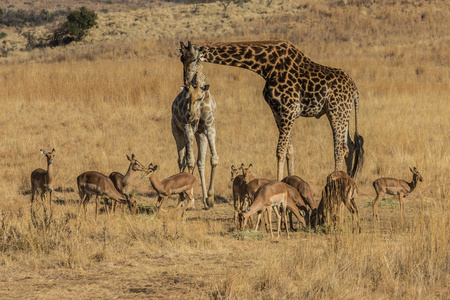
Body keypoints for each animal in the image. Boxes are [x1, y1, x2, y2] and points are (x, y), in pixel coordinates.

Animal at [171, 67, 218, 209]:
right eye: (187, 98)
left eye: (200, 97)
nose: (190, 115)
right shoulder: (188, 128)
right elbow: (190, 161)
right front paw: (190, 202)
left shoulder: (209, 127)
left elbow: (213, 159)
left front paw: (210, 199)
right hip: (176, 130)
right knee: (182, 160)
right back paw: (181, 197)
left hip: (200, 134)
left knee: (200, 162)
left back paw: (204, 199)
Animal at [178, 39, 364, 180]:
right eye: (181, 59)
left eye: (194, 59)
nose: (187, 80)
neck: (266, 67)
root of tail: (355, 90)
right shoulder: (278, 112)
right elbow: (289, 150)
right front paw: (290, 181)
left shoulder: (289, 109)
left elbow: (280, 151)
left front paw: (279, 183)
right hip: (344, 114)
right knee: (351, 146)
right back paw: (349, 181)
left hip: (336, 112)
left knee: (340, 148)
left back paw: (335, 179)